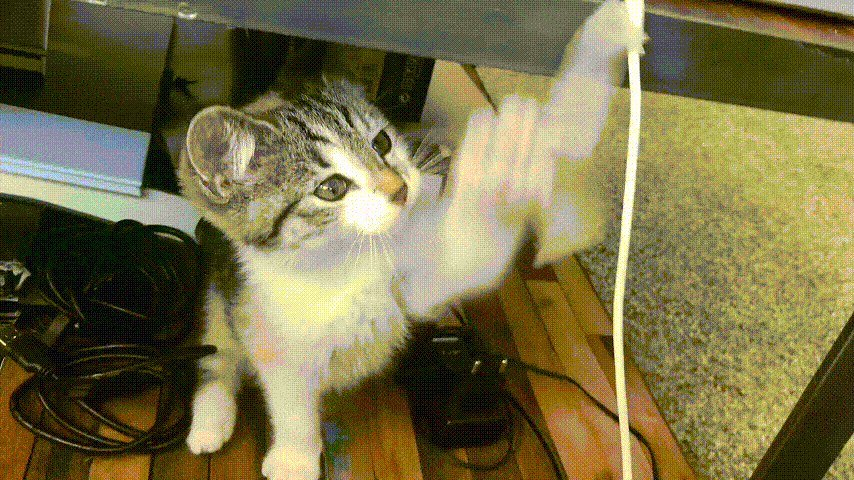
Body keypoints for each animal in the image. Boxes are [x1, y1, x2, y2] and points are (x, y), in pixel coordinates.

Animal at [177, 2, 643, 479]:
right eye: (331, 188)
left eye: (382, 142)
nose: (400, 189)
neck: (347, 263)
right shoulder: (274, 331)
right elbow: (291, 404)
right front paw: (295, 459)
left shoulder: (419, 290)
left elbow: (472, 252)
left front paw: (606, 36)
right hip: (222, 296)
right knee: (217, 354)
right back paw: (210, 421)